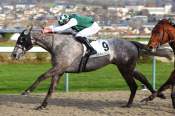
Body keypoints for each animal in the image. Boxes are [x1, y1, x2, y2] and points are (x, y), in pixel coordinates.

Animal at [11, 26, 171, 109]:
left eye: (22, 39)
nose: (13, 54)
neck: (57, 44)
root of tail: (132, 43)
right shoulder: (59, 71)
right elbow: (51, 89)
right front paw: (42, 105)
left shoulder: (59, 67)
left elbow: (41, 76)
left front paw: (27, 91)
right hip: (127, 67)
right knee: (141, 78)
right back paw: (157, 95)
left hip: (125, 68)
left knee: (133, 85)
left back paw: (129, 104)